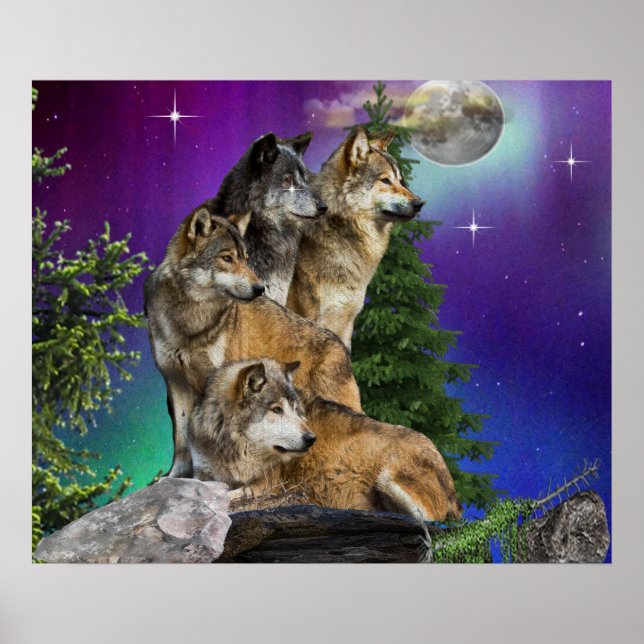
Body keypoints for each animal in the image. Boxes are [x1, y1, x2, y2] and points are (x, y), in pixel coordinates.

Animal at [144, 206, 361, 478]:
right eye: (227, 258)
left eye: (246, 258)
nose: (260, 288)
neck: (190, 321)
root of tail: (341, 346)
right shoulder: (176, 382)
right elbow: (181, 438)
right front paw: (177, 476)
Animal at [189, 359, 461, 522]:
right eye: (277, 410)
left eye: (296, 410)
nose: (311, 439)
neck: (232, 450)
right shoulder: (203, 470)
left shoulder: (262, 486)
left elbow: (225, 495)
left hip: (388, 479)